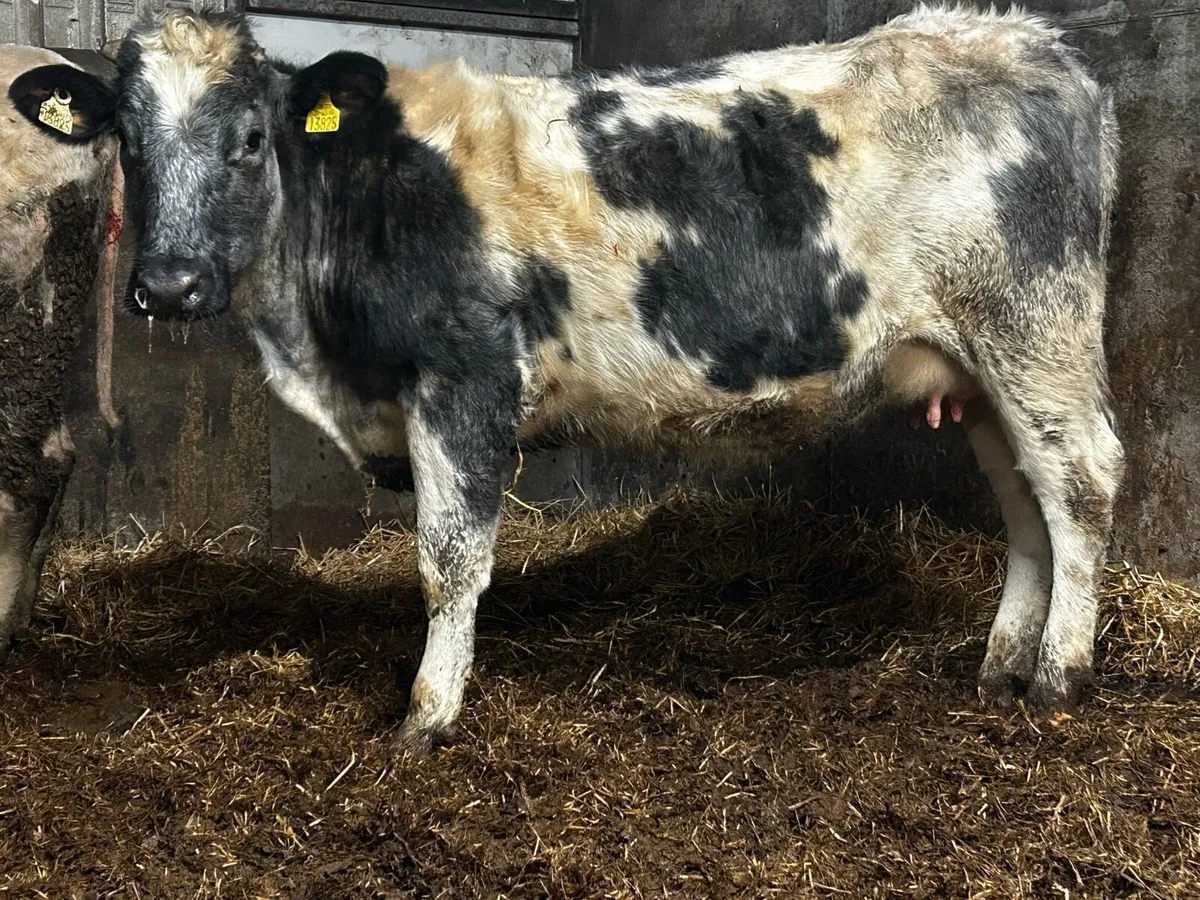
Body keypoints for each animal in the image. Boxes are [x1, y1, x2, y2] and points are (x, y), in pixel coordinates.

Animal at [10, 5, 1124, 755]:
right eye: (129, 144)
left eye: (249, 140)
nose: (169, 283)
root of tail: (1028, 39)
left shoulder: (462, 381)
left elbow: (448, 561)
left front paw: (427, 718)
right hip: (979, 367)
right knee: (1026, 502)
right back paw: (998, 668)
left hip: (1038, 331)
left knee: (1082, 482)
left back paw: (1059, 678)